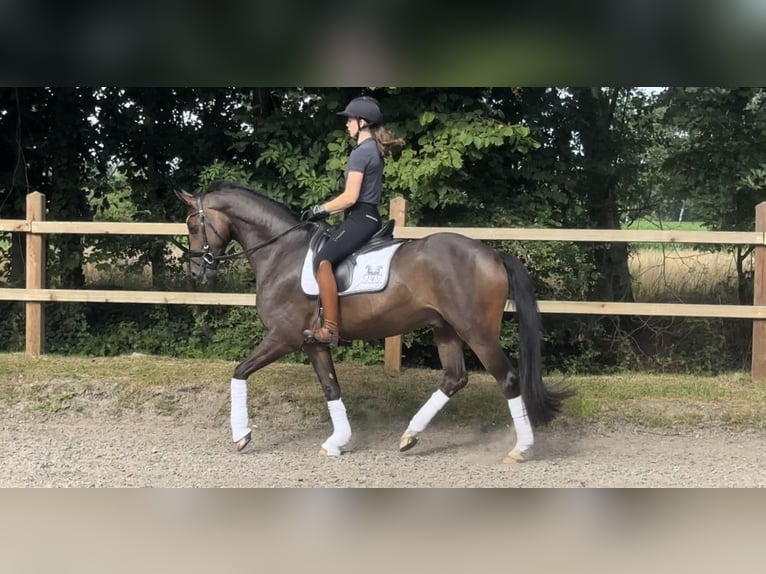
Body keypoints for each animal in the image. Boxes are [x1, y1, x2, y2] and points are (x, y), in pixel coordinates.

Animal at [174, 182, 568, 466]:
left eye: (193, 224)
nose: (196, 273)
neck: (280, 253)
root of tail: (491, 253)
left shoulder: (283, 337)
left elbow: (239, 372)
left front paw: (241, 435)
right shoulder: (313, 342)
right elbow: (331, 388)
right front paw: (337, 442)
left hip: (477, 332)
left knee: (508, 379)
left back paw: (520, 449)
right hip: (445, 329)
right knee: (455, 378)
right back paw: (410, 435)